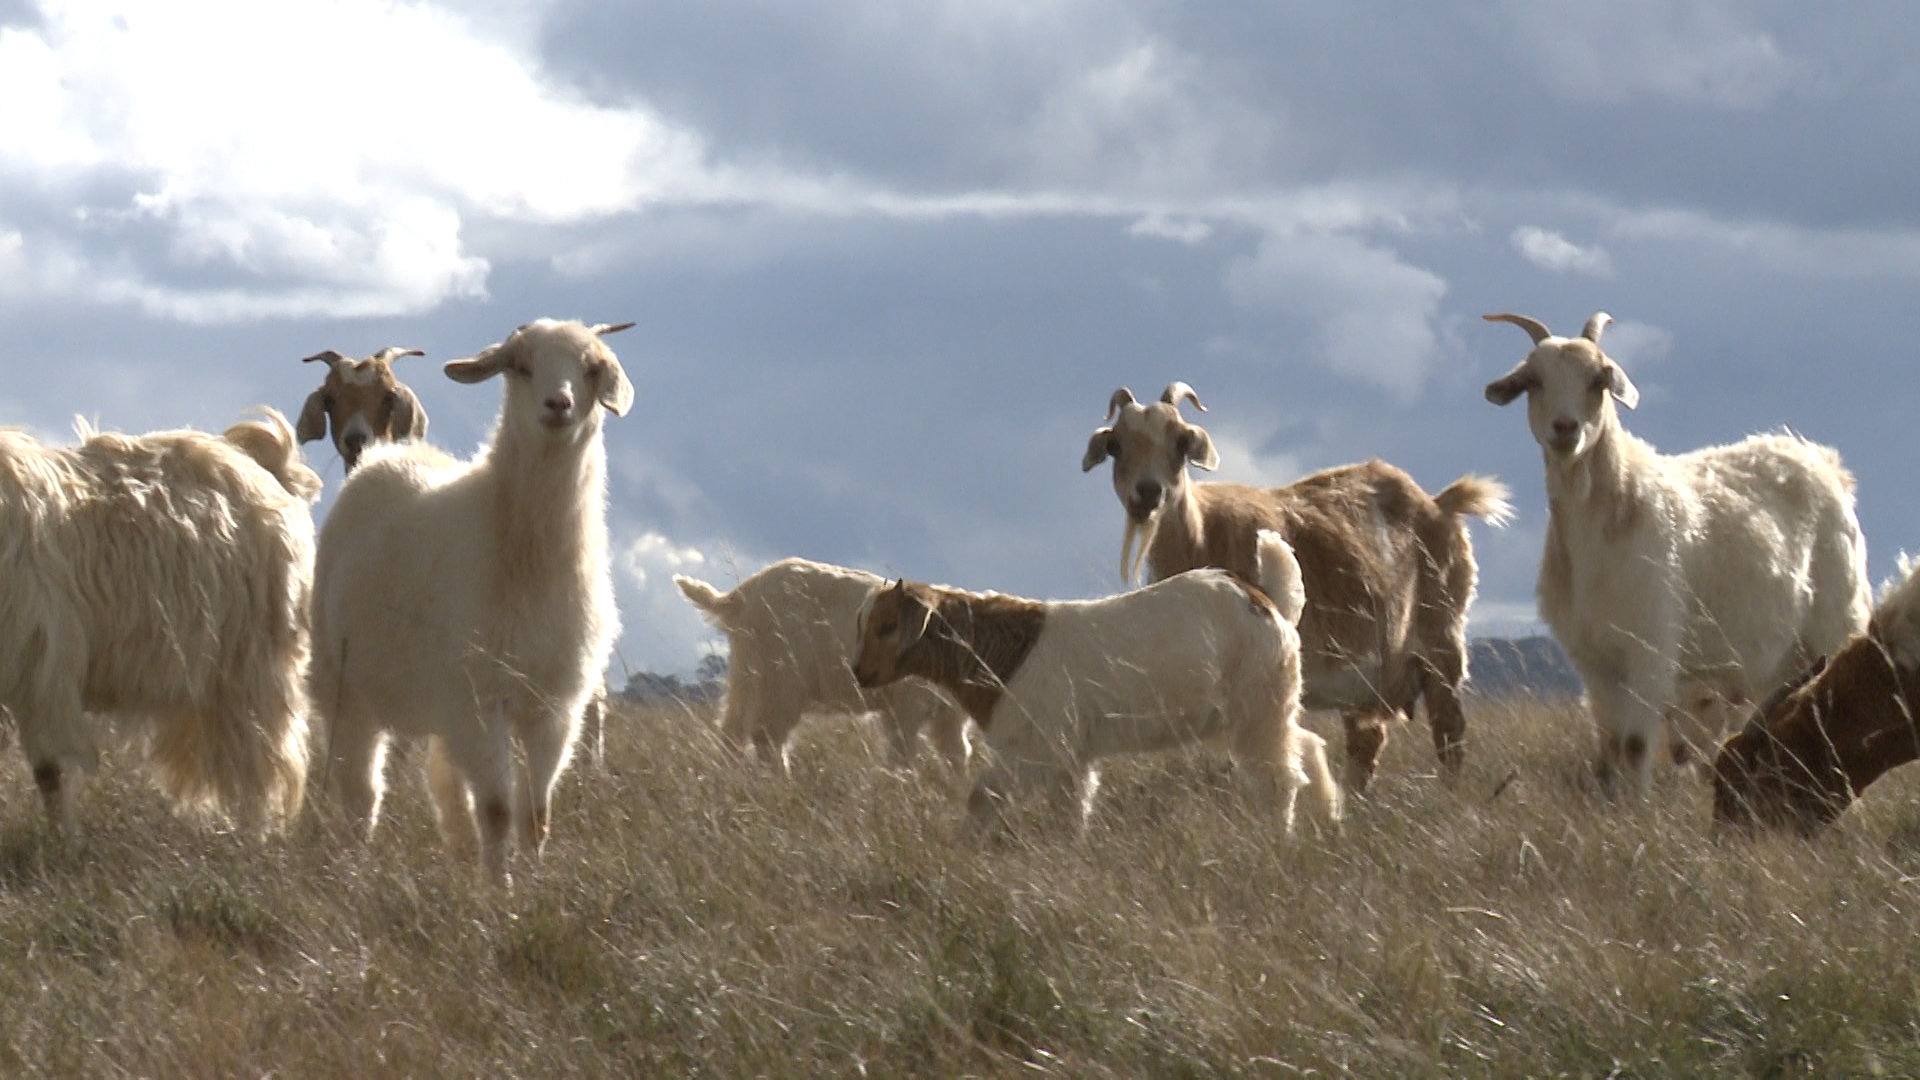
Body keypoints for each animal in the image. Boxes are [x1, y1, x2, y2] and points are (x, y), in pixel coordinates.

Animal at [851, 533, 1341, 834]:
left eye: (888, 625)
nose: (860, 672)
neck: (1004, 654)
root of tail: (1266, 599)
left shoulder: (1038, 747)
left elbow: (982, 797)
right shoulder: (1072, 758)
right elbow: (1071, 813)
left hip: (1257, 706)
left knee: (1279, 777)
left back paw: (1279, 836)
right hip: (1257, 709)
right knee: (1306, 745)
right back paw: (1329, 813)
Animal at [1083, 382, 1511, 792]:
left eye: (1181, 442)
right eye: (1116, 445)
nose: (1147, 493)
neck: (1202, 532)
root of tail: (1439, 503)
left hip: (1442, 643)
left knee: (1449, 733)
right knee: (1367, 745)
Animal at [1486, 311, 1871, 795]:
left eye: (1599, 379)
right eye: (1533, 381)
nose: (1565, 428)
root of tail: (1820, 459)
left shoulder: (1651, 648)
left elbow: (1634, 745)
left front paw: (1636, 809)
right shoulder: (1593, 661)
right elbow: (1609, 749)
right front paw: (1612, 803)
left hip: (1837, 620)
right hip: (1784, 659)